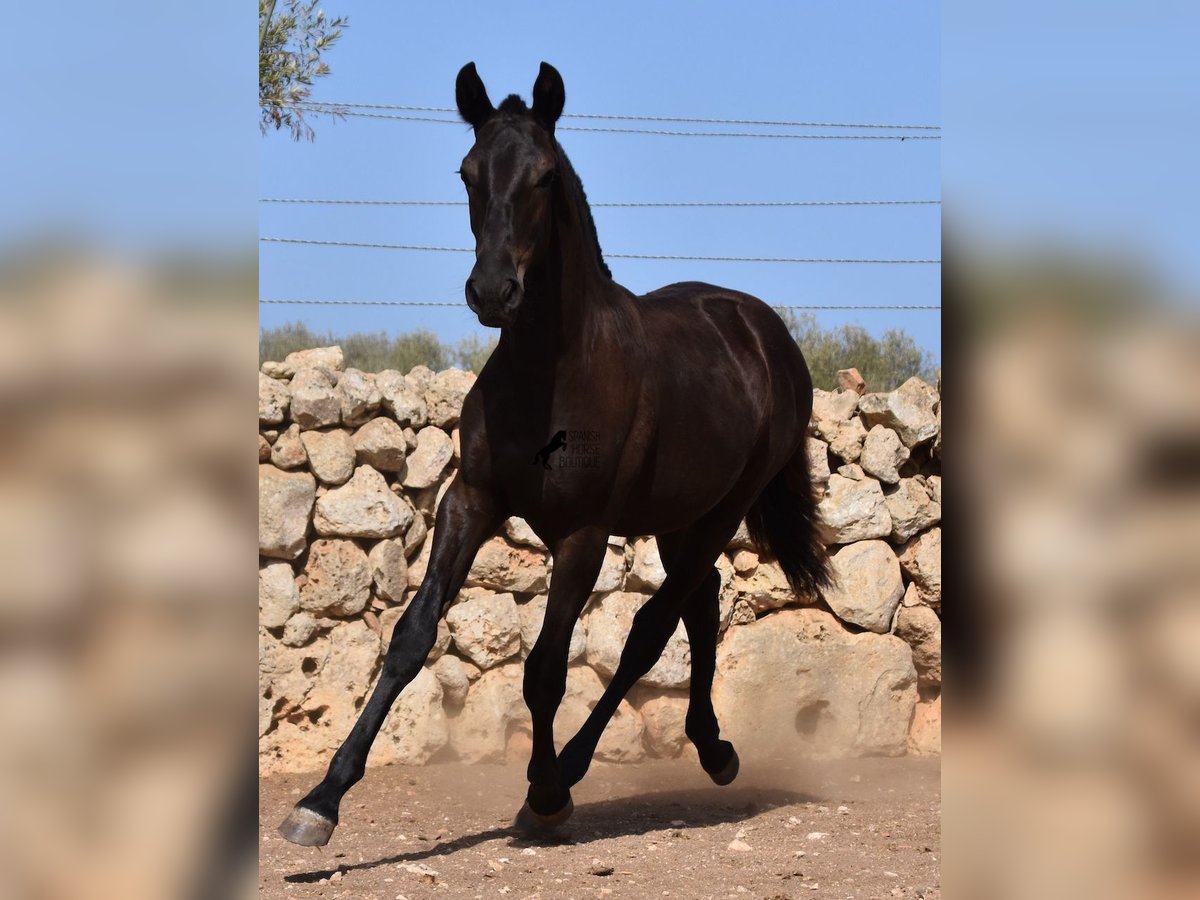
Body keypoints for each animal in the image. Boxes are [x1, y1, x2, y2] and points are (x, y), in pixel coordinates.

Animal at [277, 61, 830, 844]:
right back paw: (713, 748)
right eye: (468, 171)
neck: (552, 374)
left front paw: (542, 795)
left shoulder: (583, 534)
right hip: (679, 516)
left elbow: (545, 670)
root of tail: (763, 331)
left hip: (724, 509)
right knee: (700, 602)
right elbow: (412, 636)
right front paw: (320, 801)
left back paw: (577, 770)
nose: (492, 291)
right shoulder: (471, 501)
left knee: (652, 630)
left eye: (543, 175)